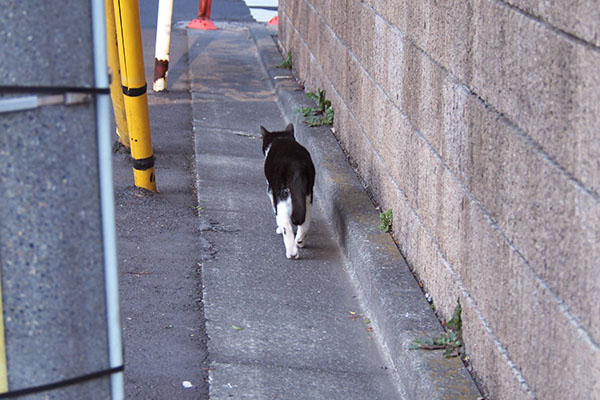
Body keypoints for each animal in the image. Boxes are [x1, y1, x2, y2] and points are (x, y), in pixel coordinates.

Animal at [262, 122, 318, 260]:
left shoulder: (271, 191)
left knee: (286, 225)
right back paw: (300, 241)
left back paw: (292, 252)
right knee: (305, 220)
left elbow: (275, 212)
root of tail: (296, 165)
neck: (280, 138)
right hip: (307, 197)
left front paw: (278, 228)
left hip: (282, 197)